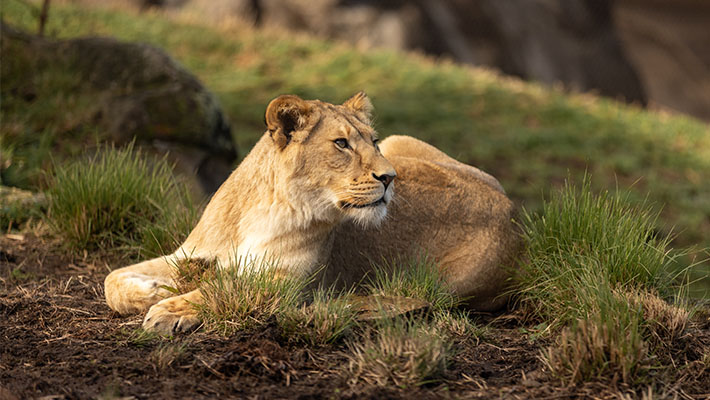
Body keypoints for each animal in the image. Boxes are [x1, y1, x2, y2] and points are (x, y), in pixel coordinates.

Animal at [104, 92, 521, 334]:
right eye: (341, 144)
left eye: (370, 142)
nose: (390, 178)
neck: (266, 206)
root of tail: (510, 211)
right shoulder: (190, 253)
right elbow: (112, 279)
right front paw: (156, 290)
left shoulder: (287, 282)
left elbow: (223, 288)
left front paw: (168, 310)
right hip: (404, 142)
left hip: (451, 284)